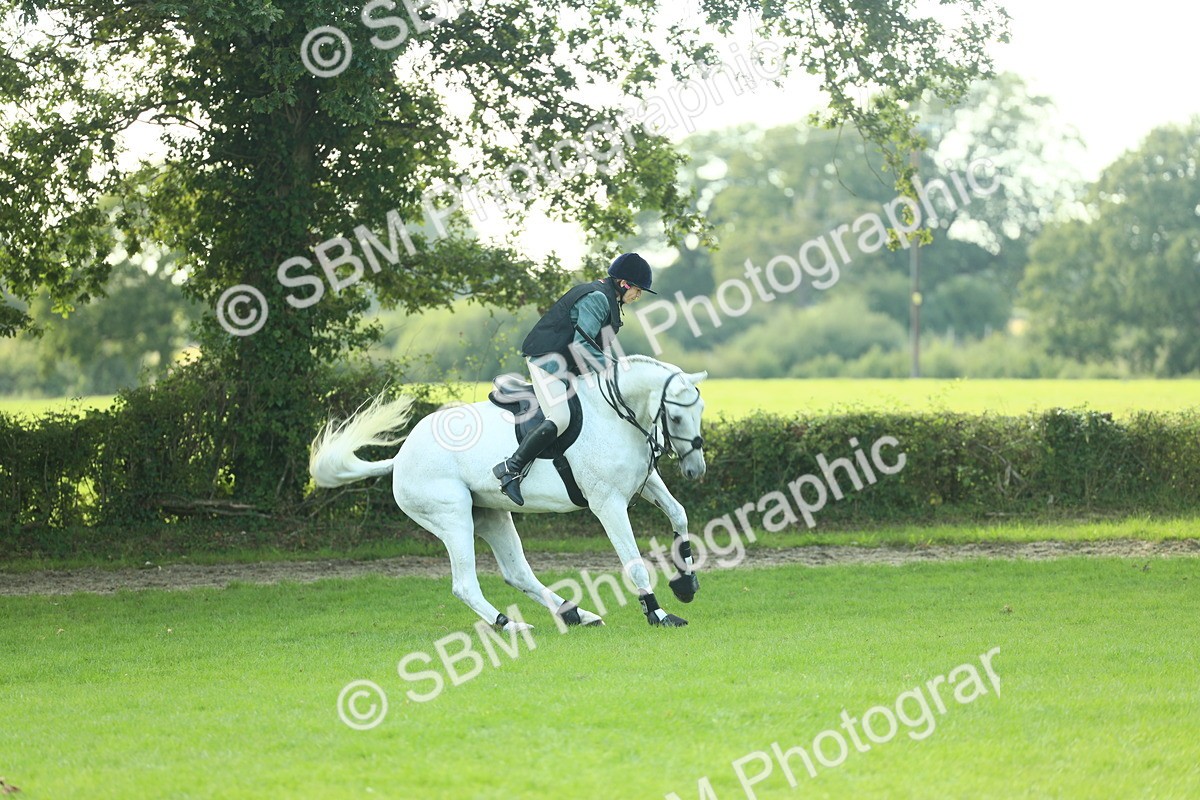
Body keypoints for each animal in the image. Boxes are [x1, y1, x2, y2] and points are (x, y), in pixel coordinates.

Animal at [308, 355, 708, 631]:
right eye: (675, 417)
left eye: (700, 410)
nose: (695, 469)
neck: (614, 415)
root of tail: (400, 457)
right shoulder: (607, 503)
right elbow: (634, 562)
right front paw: (658, 614)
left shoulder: (646, 482)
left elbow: (679, 514)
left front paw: (686, 583)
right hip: (453, 519)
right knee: (465, 585)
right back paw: (510, 625)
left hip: (491, 515)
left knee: (518, 573)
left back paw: (577, 614)